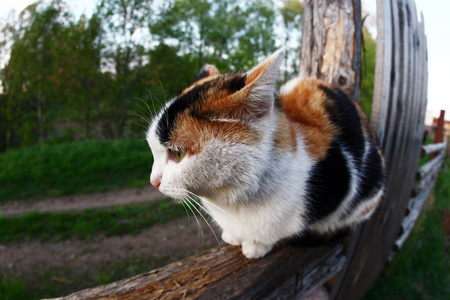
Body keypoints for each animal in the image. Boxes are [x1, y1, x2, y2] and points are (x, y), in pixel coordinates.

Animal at [146, 49, 384, 258]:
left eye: (177, 153)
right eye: (152, 148)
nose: (153, 182)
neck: (231, 202)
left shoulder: (339, 177)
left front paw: (256, 246)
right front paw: (233, 236)